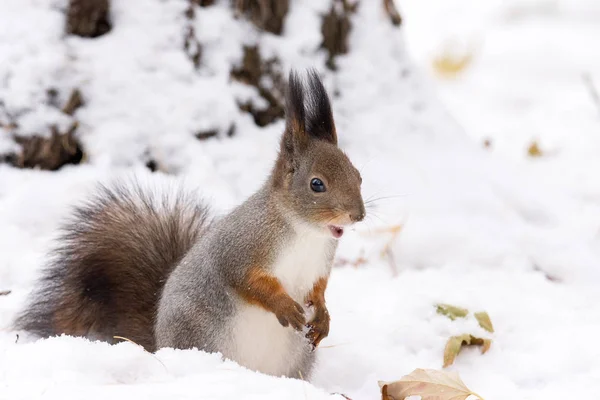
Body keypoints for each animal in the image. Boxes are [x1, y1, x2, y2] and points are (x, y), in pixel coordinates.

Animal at [15, 69, 366, 382]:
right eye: (316, 184)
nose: (358, 215)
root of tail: (159, 345)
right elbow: (246, 281)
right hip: (199, 334)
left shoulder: (319, 265)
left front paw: (323, 317)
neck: (304, 232)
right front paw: (285, 306)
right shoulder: (241, 247)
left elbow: (318, 290)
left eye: (358, 175)